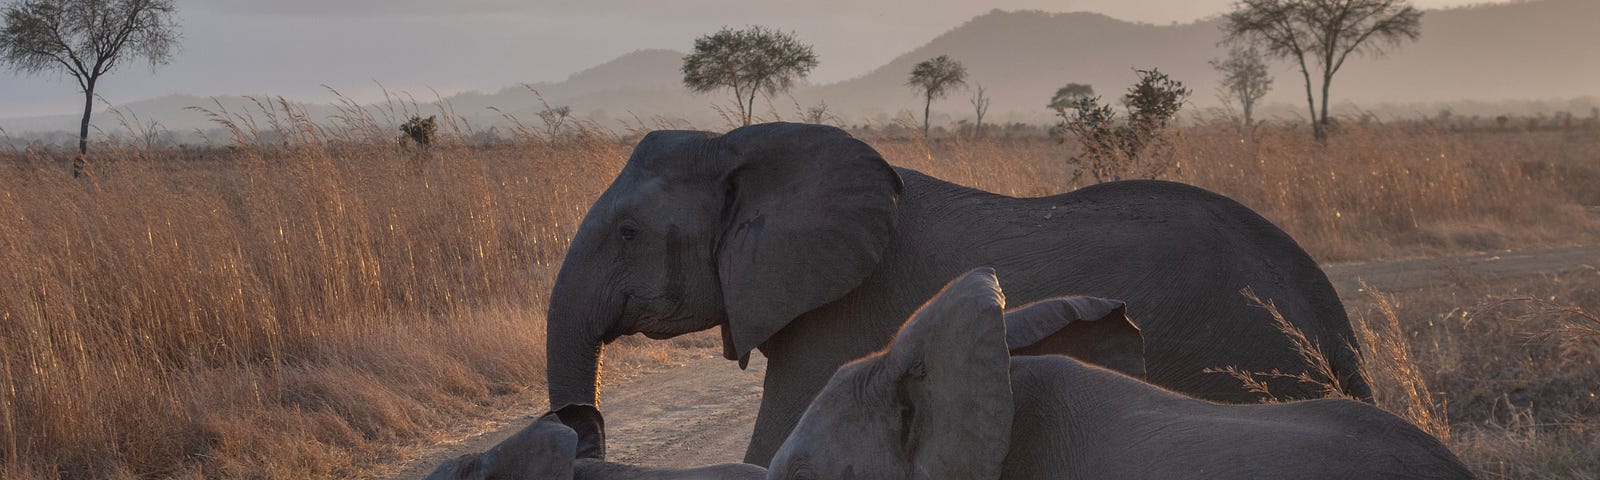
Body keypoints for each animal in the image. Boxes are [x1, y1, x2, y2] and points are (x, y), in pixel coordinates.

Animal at [544, 120, 1369, 464]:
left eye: (628, 235)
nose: (582, 428)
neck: (742, 144)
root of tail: (1329, 312)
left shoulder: (844, 312)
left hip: (1248, 356)